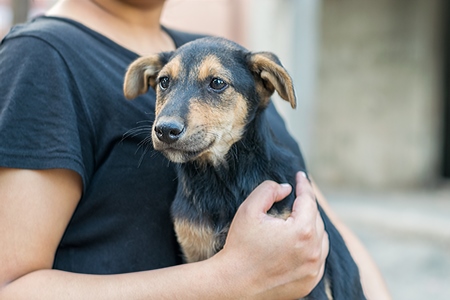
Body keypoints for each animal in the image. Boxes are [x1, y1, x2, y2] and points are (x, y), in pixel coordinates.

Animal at [123, 36, 366, 298]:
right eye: (164, 82)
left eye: (217, 83)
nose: (165, 130)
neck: (221, 180)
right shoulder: (194, 251)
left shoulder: (312, 286)